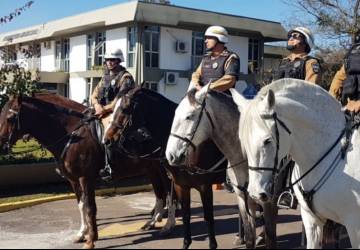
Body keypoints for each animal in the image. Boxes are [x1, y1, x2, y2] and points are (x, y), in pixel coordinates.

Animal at [0, 93, 173, 249]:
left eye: (9, 118)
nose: (1, 146)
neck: (72, 135)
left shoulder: (86, 178)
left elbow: (90, 207)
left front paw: (91, 240)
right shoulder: (74, 180)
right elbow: (81, 205)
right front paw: (82, 233)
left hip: (164, 167)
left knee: (170, 191)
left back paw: (168, 226)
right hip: (152, 168)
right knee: (159, 191)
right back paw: (152, 221)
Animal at [104, 89, 258, 249]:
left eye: (124, 109)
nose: (106, 140)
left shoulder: (203, 185)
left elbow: (203, 214)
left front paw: (166, 223)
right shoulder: (173, 179)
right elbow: (179, 208)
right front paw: (159, 222)